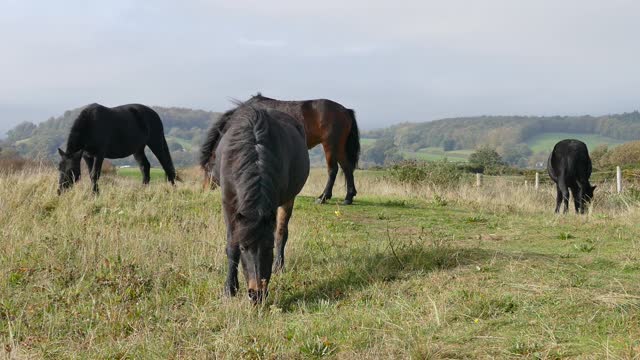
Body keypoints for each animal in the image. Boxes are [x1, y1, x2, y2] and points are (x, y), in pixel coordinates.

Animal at [201, 93, 360, 204]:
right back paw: (348, 197)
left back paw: (323, 198)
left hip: (330, 145)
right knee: (347, 168)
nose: (204, 190)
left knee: (333, 170)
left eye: (207, 169)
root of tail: (345, 110)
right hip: (339, 147)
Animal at [210, 104, 310, 304]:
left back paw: (279, 265)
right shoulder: (228, 204)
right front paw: (229, 289)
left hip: (289, 199)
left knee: (281, 231)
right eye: (244, 247)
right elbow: (231, 244)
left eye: (269, 247)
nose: (257, 294)